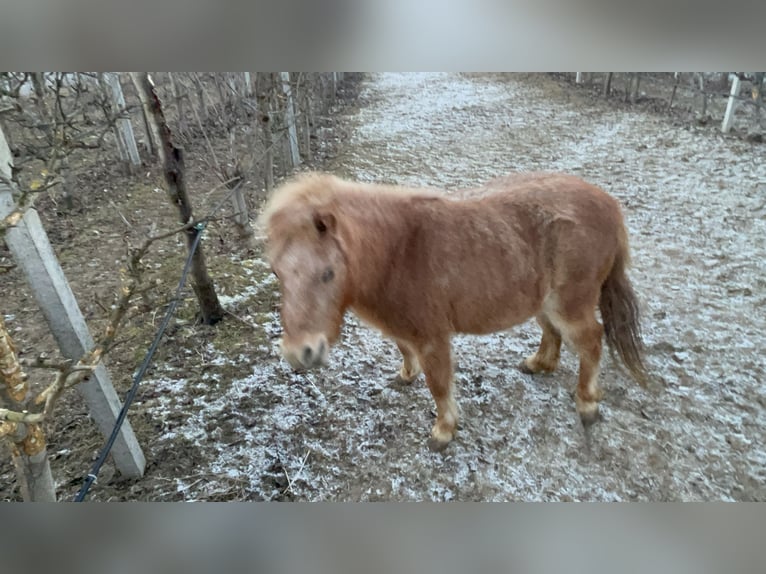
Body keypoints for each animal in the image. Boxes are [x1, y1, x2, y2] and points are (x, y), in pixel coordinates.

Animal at [258, 171, 648, 451]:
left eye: (327, 273)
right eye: (277, 272)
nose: (300, 352)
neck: (399, 251)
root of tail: (609, 205)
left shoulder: (433, 337)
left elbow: (439, 384)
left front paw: (443, 431)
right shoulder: (404, 327)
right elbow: (403, 349)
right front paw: (405, 375)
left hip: (570, 305)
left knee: (591, 341)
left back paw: (587, 404)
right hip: (543, 302)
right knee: (553, 333)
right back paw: (539, 364)